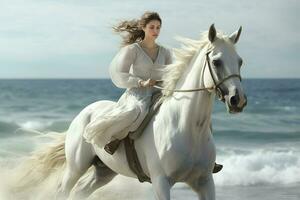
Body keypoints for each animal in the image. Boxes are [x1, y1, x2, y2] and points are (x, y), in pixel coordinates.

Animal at [16, 24, 247, 199]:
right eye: (216, 61)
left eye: (240, 61)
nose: (238, 100)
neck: (188, 127)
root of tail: (84, 114)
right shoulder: (161, 182)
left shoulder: (205, 182)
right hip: (76, 167)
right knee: (63, 191)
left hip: (104, 171)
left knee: (81, 191)